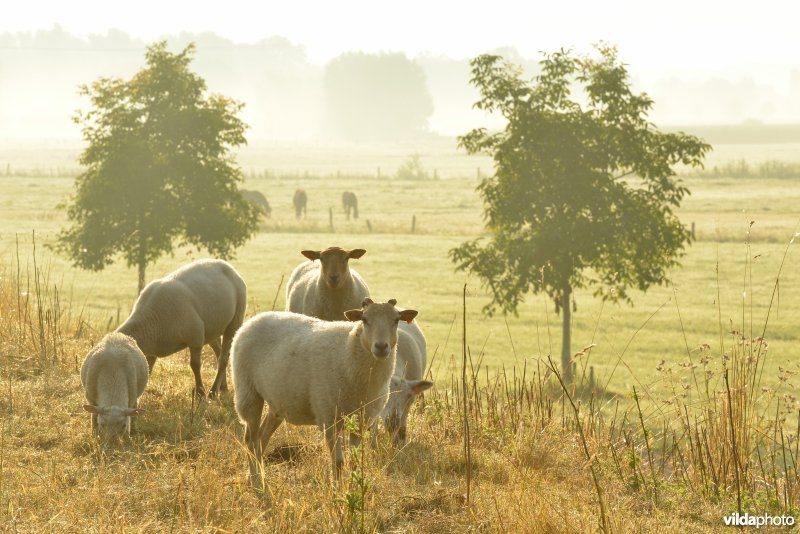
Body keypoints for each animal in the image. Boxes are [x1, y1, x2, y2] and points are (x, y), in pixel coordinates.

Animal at [116, 260, 247, 398]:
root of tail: (227, 265)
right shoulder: (151, 352)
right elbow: (148, 369)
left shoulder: (196, 337)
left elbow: (195, 365)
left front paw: (200, 394)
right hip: (211, 328)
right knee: (219, 352)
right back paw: (222, 387)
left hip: (234, 321)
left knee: (224, 358)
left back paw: (212, 392)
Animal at [231, 300, 418, 488]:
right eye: (364, 320)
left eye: (396, 320)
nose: (381, 347)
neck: (348, 352)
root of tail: (251, 321)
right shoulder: (328, 417)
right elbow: (338, 463)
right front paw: (338, 490)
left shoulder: (360, 421)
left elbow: (355, 461)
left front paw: (353, 487)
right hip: (248, 392)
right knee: (251, 440)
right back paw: (257, 483)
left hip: (277, 402)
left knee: (262, 438)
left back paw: (256, 478)